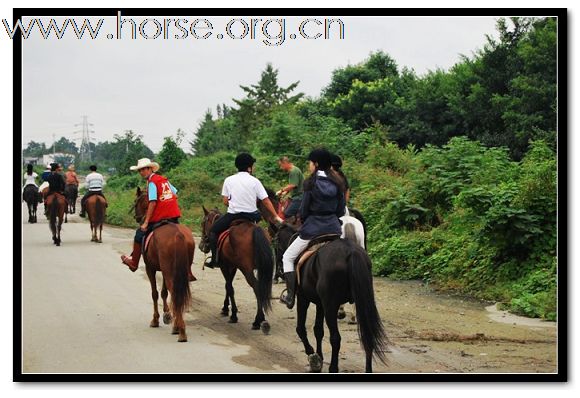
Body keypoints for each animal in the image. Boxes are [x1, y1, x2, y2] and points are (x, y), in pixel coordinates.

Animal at [132, 188, 194, 344]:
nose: (137, 218)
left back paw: (180, 330)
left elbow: (155, 293)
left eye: (136, 202)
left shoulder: (150, 268)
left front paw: (156, 320)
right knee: (177, 293)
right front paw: (167, 315)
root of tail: (178, 235)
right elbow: (164, 292)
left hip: (167, 270)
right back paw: (178, 326)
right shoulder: (165, 270)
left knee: (175, 292)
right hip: (177, 270)